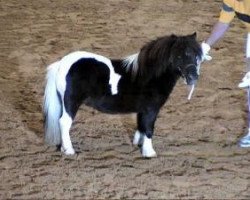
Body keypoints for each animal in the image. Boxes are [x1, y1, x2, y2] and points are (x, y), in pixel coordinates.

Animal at [43, 32, 203, 158]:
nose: (193, 77)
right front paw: (149, 152)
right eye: (179, 55)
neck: (149, 75)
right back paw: (69, 150)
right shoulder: (151, 109)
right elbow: (149, 128)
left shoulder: (143, 110)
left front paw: (138, 144)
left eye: (196, 55)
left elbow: (141, 126)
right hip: (71, 102)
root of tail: (62, 63)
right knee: (64, 122)